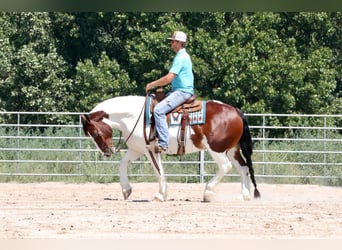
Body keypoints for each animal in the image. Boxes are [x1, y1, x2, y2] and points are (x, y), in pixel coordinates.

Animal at [81, 94, 260, 202]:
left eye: (95, 132)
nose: (107, 152)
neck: (134, 116)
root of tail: (236, 111)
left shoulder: (150, 150)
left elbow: (158, 171)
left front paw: (160, 195)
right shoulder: (137, 149)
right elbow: (122, 164)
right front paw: (126, 190)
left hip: (217, 149)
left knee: (225, 167)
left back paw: (208, 192)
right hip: (232, 150)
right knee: (243, 168)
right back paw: (243, 195)